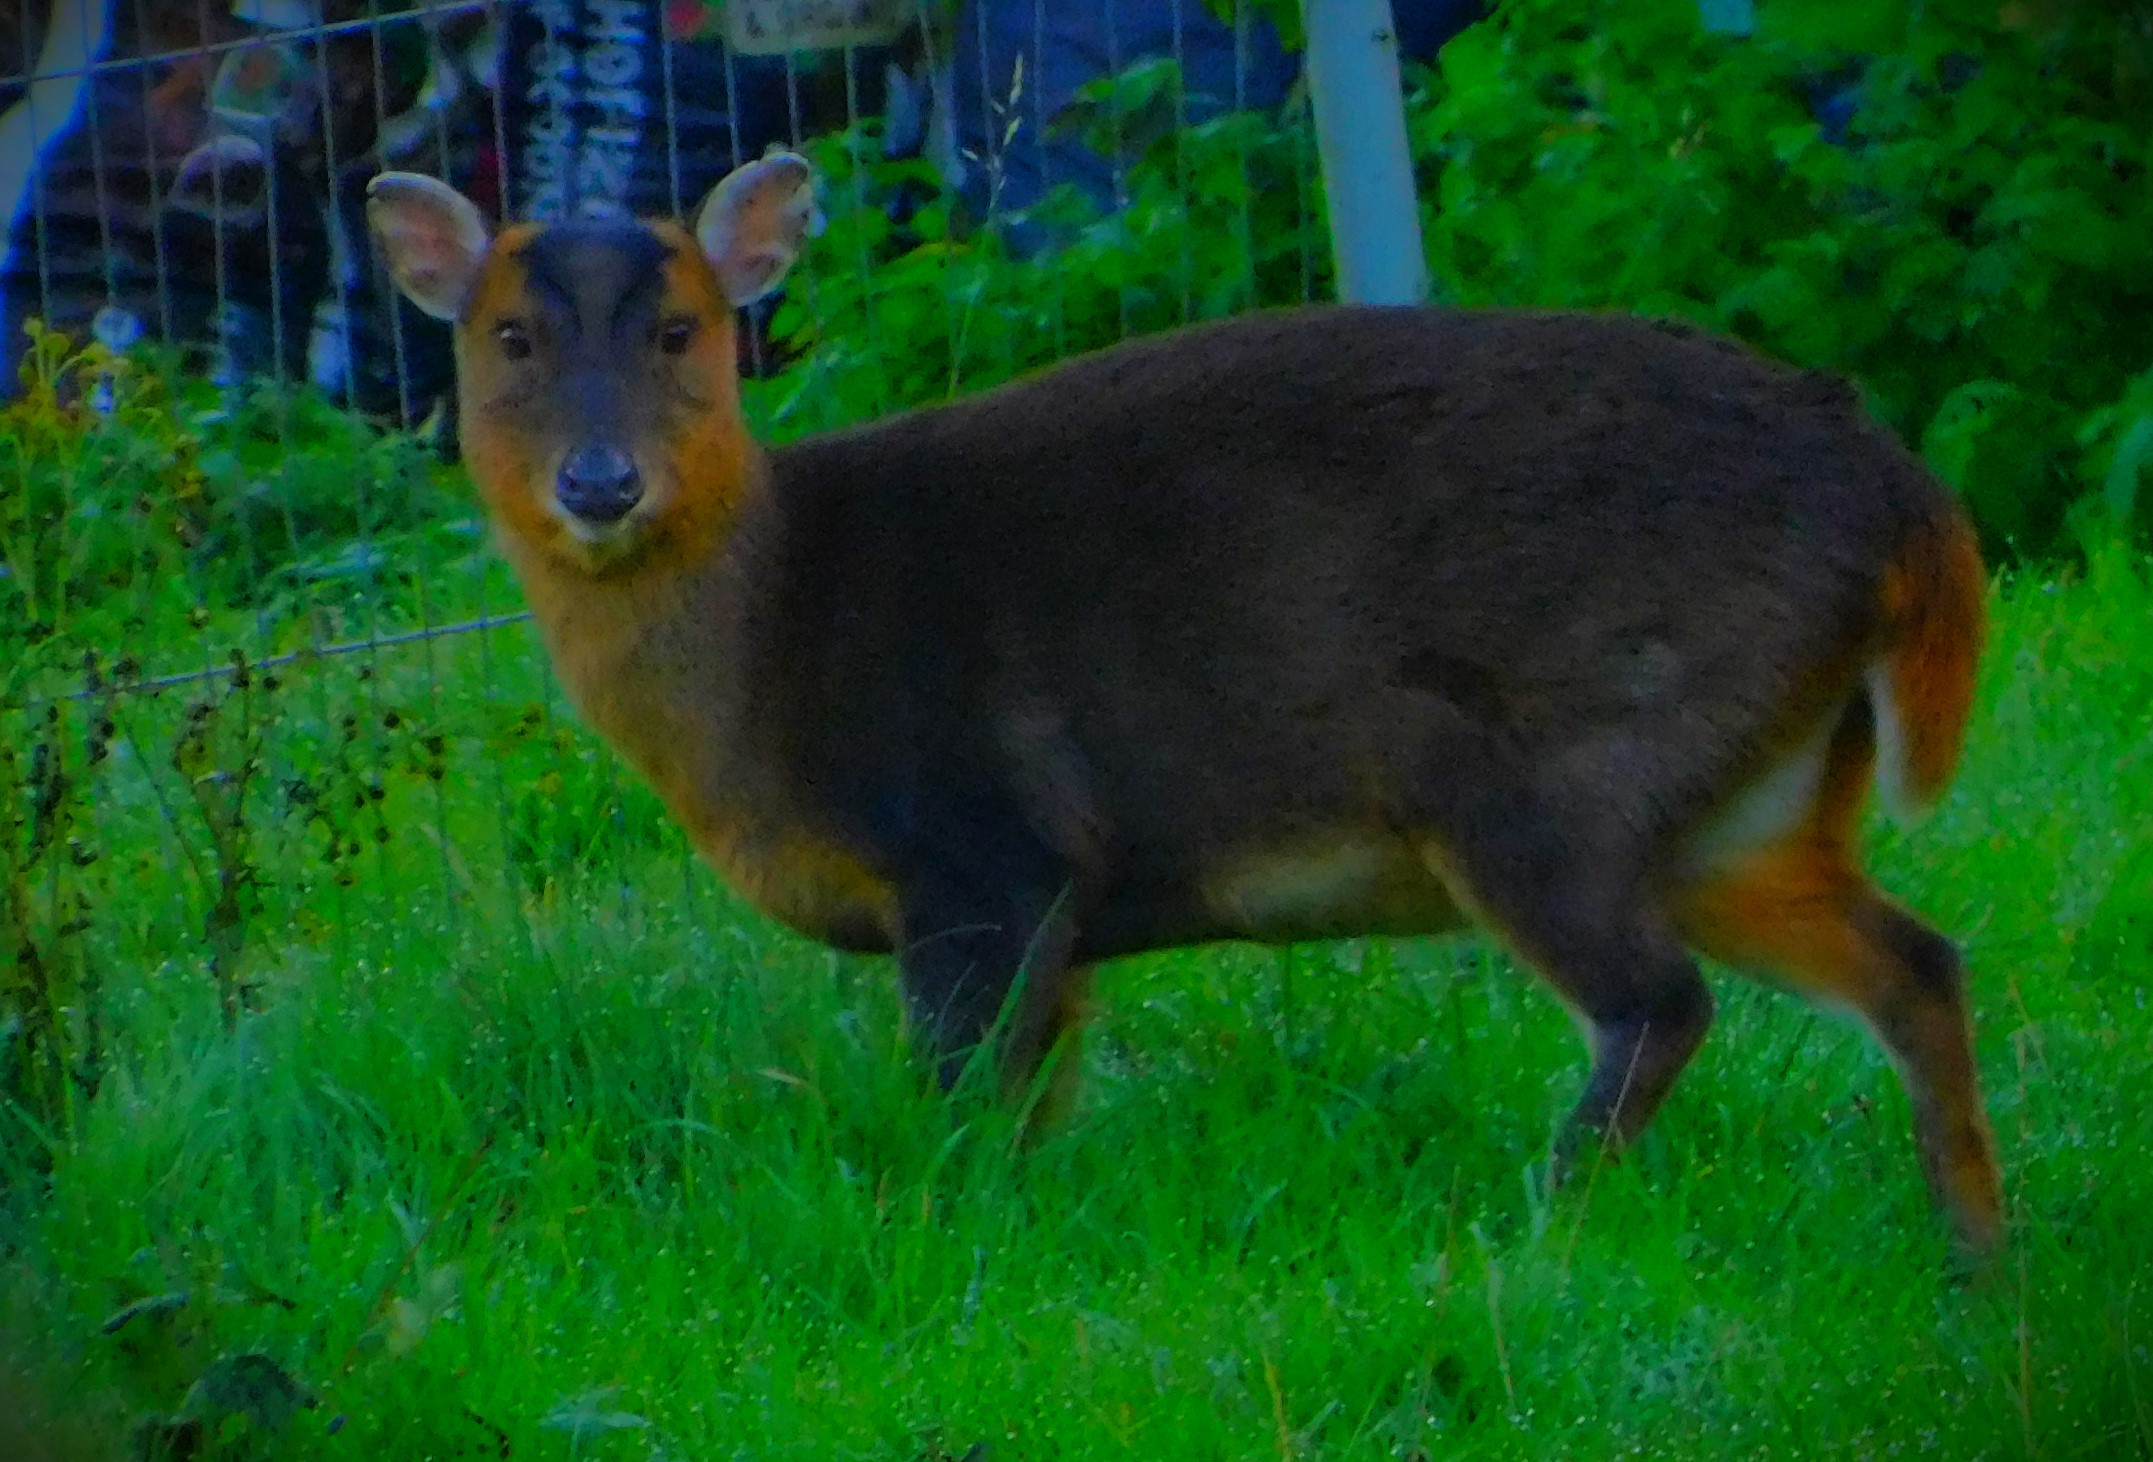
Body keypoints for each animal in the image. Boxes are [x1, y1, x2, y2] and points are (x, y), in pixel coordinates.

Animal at [365, 152, 2002, 1252]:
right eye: (508, 337)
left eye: (682, 331)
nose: (601, 481)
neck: (769, 657)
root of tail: (1906, 504)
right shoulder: (1050, 912)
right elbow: (1032, 1107)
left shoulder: (984, 852)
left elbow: (956, 1108)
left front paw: (945, 1242)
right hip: (1750, 801)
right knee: (1915, 959)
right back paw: (1976, 1258)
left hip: (1560, 764)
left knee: (1661, 998)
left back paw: (1533, 1221)